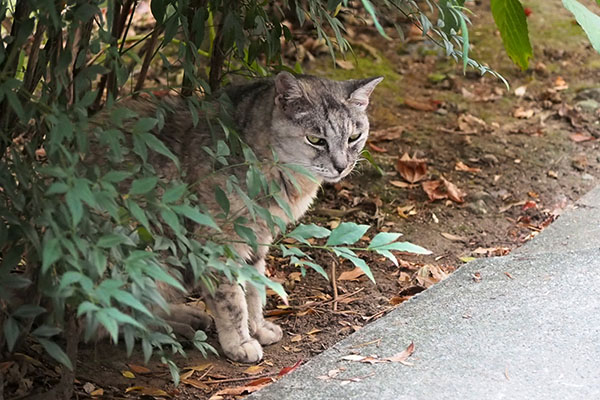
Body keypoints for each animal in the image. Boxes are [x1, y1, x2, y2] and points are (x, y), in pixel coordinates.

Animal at [100, 71, 380, 362]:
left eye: (354, 137)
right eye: (315, 139)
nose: (341, 166)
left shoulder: (257, 238)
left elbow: (255, 289)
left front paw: (257, 327)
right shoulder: (217, 244)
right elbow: (232, 300)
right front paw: (240, 342)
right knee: (113, 318)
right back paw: (174, 329)